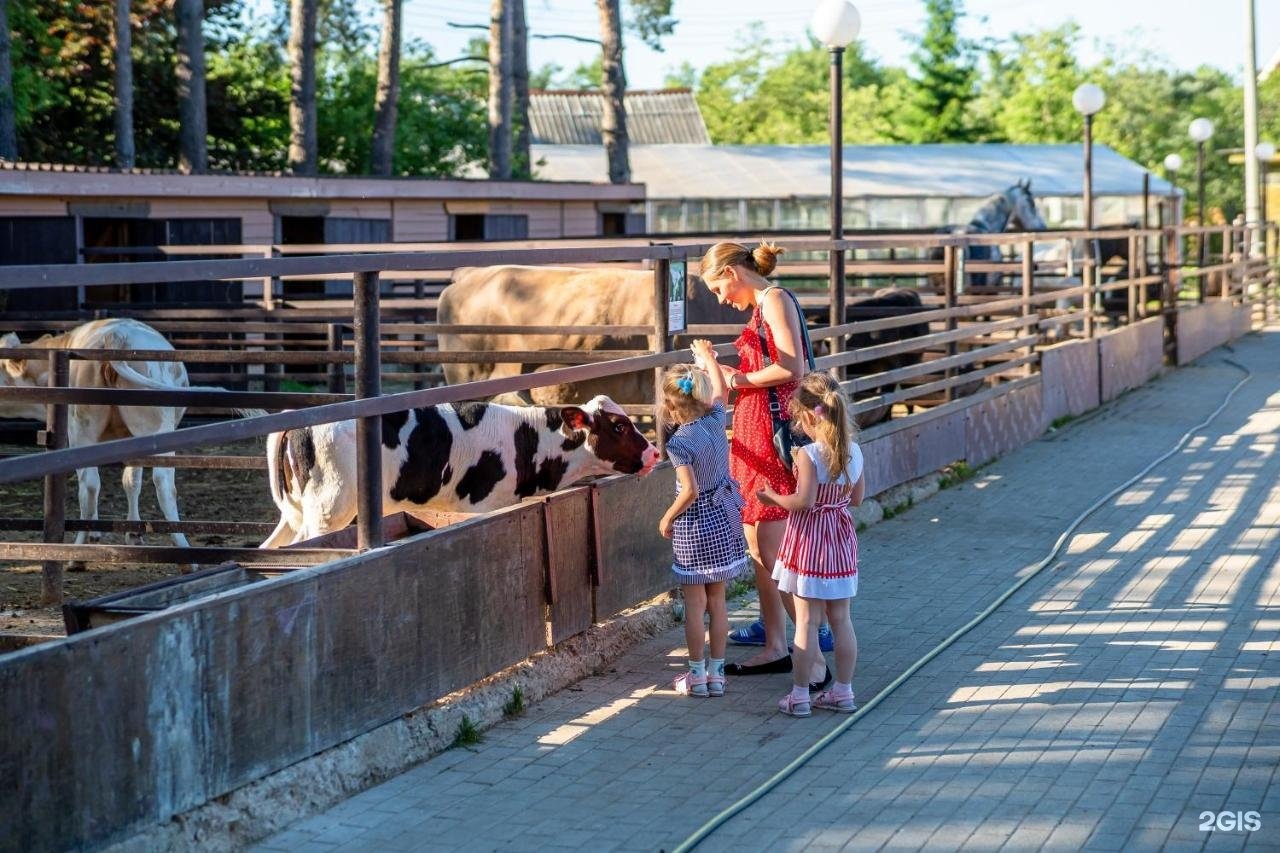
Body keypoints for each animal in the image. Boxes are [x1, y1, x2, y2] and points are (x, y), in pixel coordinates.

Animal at [259, 394, 660, 545]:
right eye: (619, 426)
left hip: (299, 513)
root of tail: (298, 420)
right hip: (328, 509)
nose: (655, 453)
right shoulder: (481, 507)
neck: (529, 438)